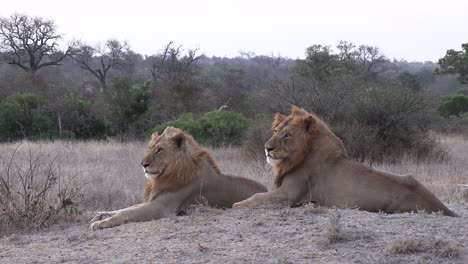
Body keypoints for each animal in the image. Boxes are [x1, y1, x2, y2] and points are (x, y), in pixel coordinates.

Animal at [90, 126, 266, 229]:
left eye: (159, 150)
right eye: (149, 148)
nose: (143, 164)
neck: (167, 174)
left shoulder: (162, 207)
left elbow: (127, 213)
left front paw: (101, 222)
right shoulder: (153, 199)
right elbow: (126, 208)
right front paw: (100, 214)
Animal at [234, 105, 458, 217]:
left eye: (287, 135)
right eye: (275, 131)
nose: (267, 148)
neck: (301, 154)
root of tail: (445, 209)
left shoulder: (289, 194)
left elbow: (256, 197)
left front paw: (236, 203)